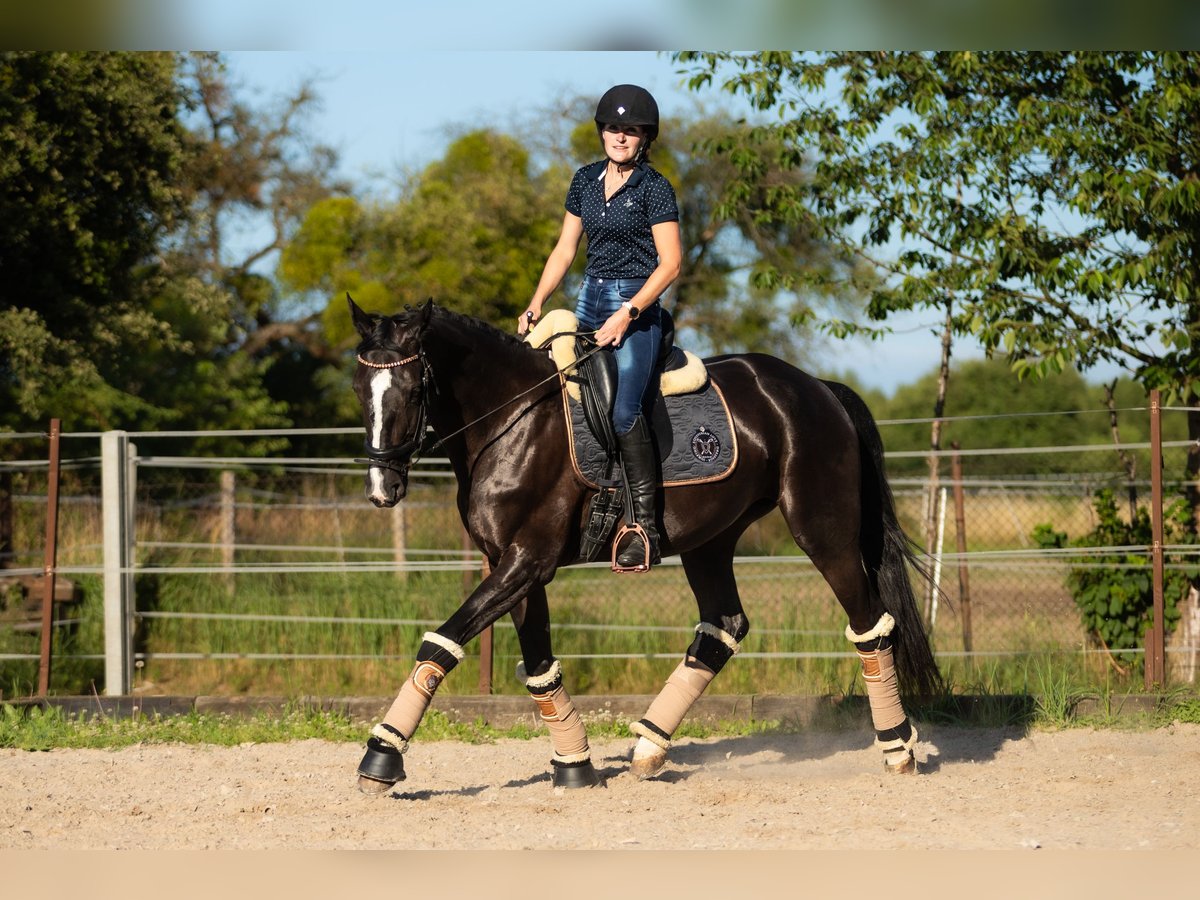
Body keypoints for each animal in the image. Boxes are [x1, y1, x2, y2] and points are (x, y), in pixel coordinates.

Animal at [350, 297, 940, 796]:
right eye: (359, 388)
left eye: (410, 390)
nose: (381, 489)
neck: (511, 421)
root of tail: (815, 387)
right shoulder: (511, 565)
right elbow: (538, 665)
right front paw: (575, 766)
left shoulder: (526, 562)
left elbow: (440, 644)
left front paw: (381, 758)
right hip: (710, 541)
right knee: (723, 628)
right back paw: (649, 747)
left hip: (823, 531)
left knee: (869, 623)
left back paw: (898, 749)